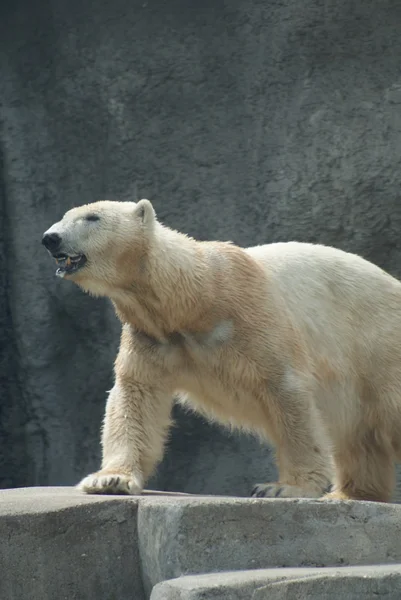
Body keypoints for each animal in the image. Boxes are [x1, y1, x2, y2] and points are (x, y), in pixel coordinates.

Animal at [41, 200, 401, 502]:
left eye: (92, 217)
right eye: (66, 214)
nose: (50, 238)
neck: (194, 298)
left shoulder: (252, 316)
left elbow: (286, 389)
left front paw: (284, 486)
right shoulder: (152, 337)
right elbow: (135, 396)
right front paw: (110, 479)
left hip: (378, 347)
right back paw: (349, 493)